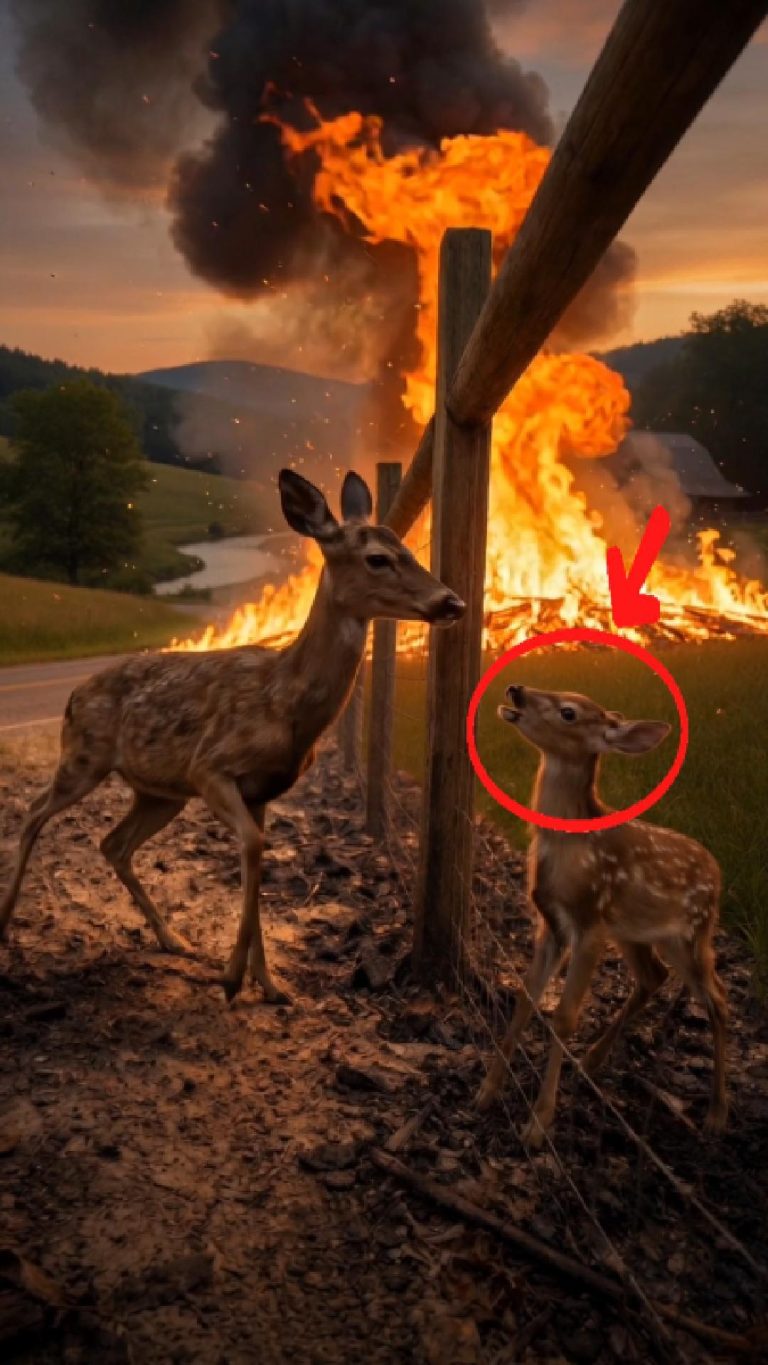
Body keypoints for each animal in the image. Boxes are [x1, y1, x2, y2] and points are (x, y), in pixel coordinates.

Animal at [0, 469, 464, 1005]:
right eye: (378, 558)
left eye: (405, 548)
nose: (452, 601)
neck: (285, 701)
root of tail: (74, 694)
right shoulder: (211, 768)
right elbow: (253, 847)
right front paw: (232, 976)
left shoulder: (261, 791)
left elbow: (256, 856)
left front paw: (271, 984)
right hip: (83, 755)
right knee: (34, 814)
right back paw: (5, 924)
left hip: (159, 792)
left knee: (113, 843)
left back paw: (173, 939)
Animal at [475, 683, 728, 1146]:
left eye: (569, 712)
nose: (516, 690)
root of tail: (718, 873)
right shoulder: (551, 923)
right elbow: (525, 998)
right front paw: (488, 1090)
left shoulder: (590, 923)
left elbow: (564, 1016)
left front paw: (538, 1123)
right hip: (634, 932)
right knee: (654, 977)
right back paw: (592, 1061)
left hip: (692, 934)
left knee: (718, 1002)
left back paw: (717, 1115)